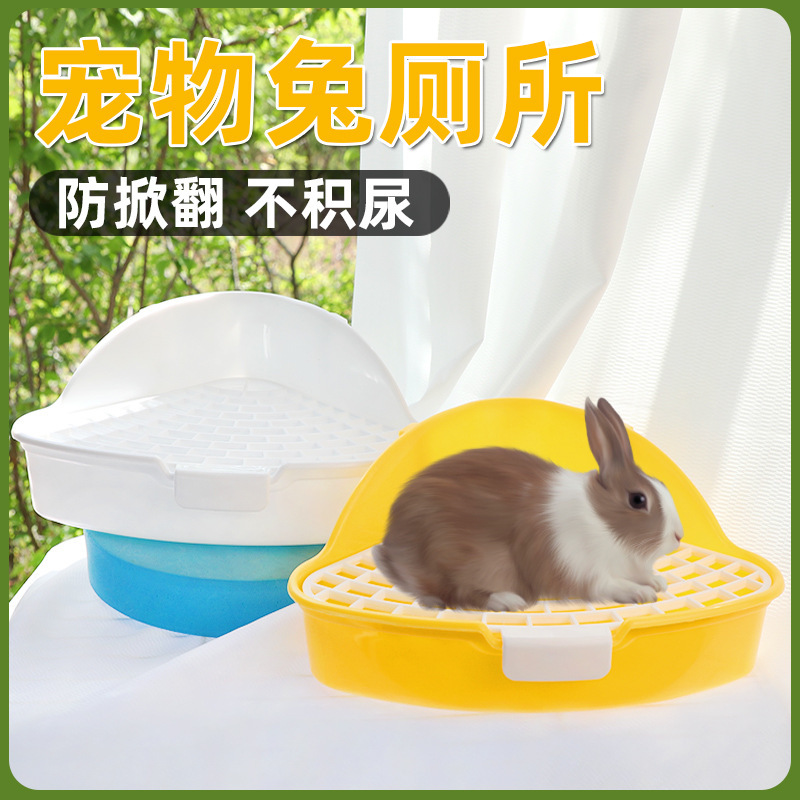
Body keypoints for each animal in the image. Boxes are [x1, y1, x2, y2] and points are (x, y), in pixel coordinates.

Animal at [372, 398, 684, 612]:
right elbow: (608, 585)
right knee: (458, 594)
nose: (678, 536)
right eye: (637, 500)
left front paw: (657, 582)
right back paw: (507, 600)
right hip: (467, 558)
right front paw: (640, 593)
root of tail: (393, 550)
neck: (600, 518)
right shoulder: (580, 570)